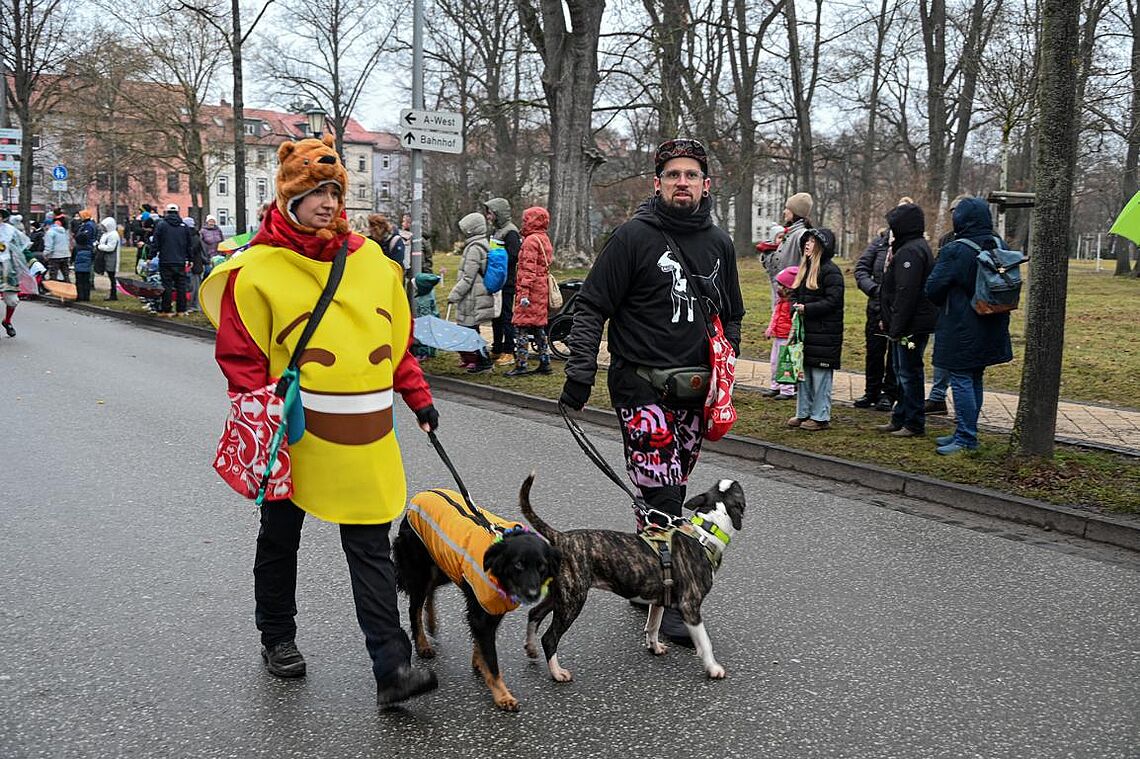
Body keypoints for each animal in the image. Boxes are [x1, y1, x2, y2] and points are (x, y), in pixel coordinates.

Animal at [394, 488, 560, 711]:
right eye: (518, 565)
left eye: (542, 567)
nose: (533, 594)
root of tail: (421, 495)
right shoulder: (482, 612)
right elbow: (492, 660)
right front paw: (503, 696)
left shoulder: (490, 608)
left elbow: (481, 645)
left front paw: (479, 664)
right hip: (421, 570)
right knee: (415, 608)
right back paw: (422, 644)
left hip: (443, 565)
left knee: (431, 591)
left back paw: (432, 622)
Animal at [521, 475, 745, 681]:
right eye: (739, 490)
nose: (733, 479)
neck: (706, 532)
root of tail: (561, 537)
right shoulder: (690, 607)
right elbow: (705, 642)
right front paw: (713, 667)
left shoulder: (658, 599)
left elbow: (653, 626)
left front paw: (654, 647)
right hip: (572, 600)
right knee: (549, 638)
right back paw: (557, 672)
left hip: (559, 595)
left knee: (534, 613)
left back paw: (531, 648)